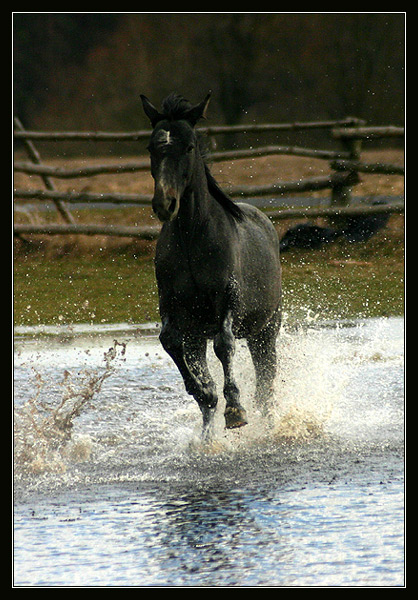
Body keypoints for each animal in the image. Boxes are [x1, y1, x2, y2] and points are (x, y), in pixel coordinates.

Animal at [140, 92, 280, 432]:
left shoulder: (227, 300)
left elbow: (224, 344)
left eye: (189, 146)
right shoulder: (173, 308)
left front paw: (235, 410)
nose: (165, 204)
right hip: (200, 333)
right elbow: (169, 342)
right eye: (151, 147)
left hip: (266, 329)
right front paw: (205, 392)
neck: (193, 239)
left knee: (266, 379)